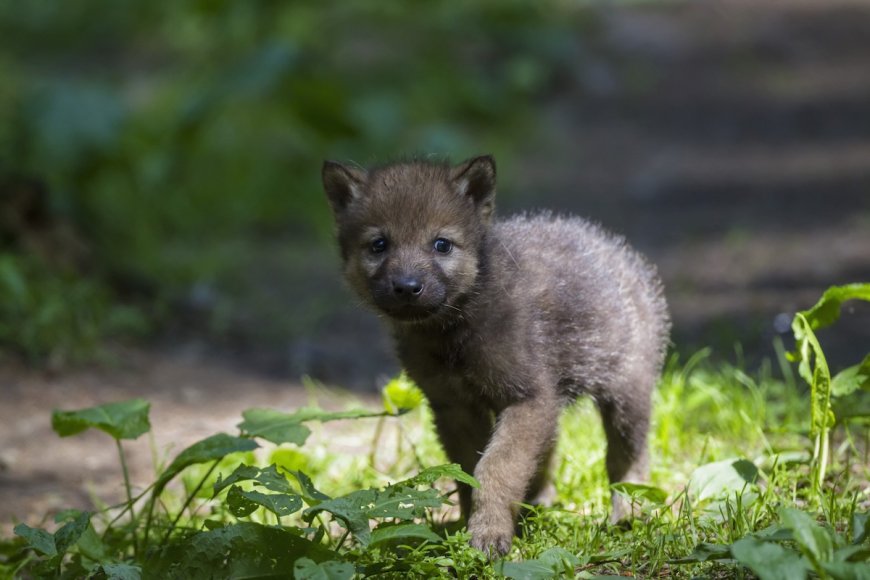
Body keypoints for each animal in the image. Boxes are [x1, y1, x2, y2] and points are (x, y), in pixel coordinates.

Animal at [321, 155, 671, 557]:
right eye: (379, 244)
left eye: (441, 245)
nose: (408, 287)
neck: (454, 330)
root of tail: (617, 251)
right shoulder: (454, 406)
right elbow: (467, 470)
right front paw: (468, 526)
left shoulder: (527, 398)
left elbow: (496, 467)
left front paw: (488, 534)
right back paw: (538, 506)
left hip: (627, 392)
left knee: (626, 457)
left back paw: (629, 514)